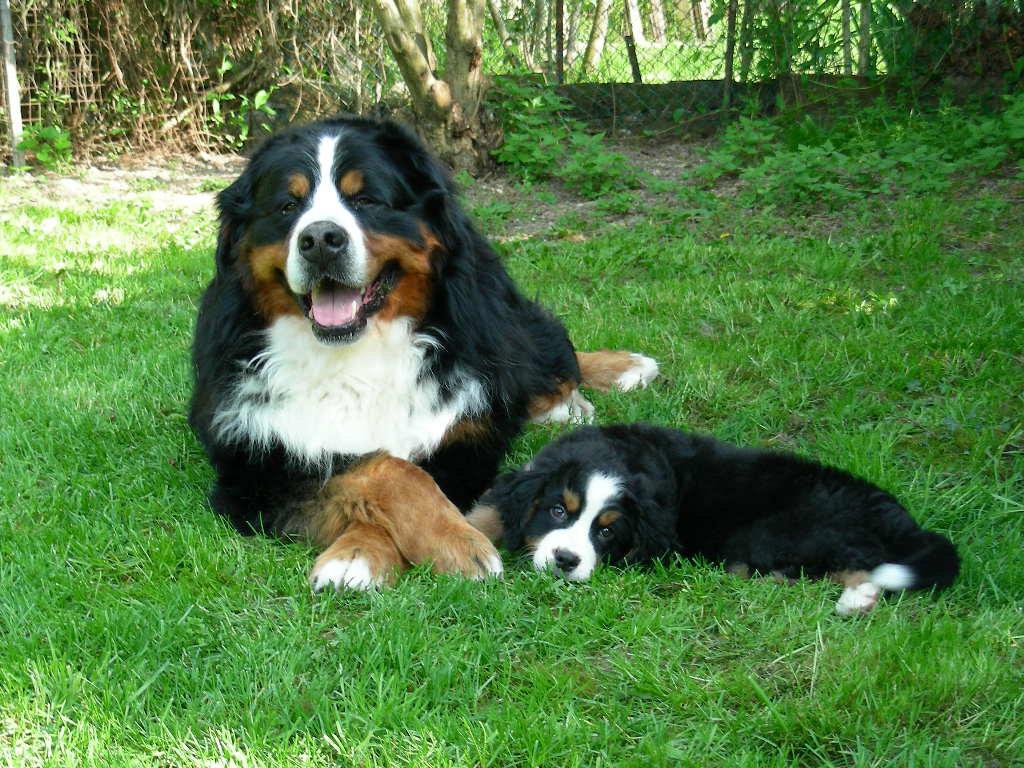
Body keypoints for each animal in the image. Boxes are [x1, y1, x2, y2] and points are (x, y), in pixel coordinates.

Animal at [189, 117, 659, 593]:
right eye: (288, 206)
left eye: (366, 200)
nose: (320, 238)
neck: (356, 355)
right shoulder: (257, 468)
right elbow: (377, 467)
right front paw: (362, 554)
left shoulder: (462, 445)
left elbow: (408, 472)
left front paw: (450, 541)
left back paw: (615, 374)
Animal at [471, 423, 958, 618]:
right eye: (557, 511)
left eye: (606, 531)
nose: (566, 561)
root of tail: (893, 513)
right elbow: (488, 511)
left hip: (770, 537)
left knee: (848, 563)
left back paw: (858, 598)